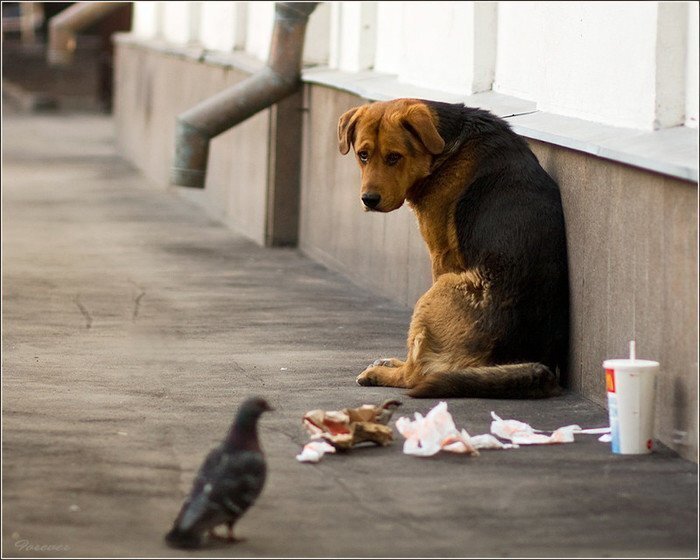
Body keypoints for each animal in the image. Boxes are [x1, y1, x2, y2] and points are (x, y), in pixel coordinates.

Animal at [338, 99, 568, 398]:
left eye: (394, 157)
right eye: (363, 155)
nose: (369, 200)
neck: (445, 148)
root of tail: (540, 366)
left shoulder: (440, 256)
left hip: (441, 287)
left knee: (416, 373)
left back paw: (381, 373)